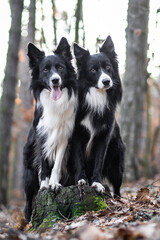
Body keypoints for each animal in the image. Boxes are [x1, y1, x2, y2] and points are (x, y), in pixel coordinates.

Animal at [23, 37, 77, 221]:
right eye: (45, 70)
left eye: (60, 68)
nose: (55, 80)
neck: (55, 104)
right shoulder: (42, 137)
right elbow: (44, 164)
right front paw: (45, 185)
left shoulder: (65, 136)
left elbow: (57, 164)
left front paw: (54, 183)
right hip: (28, 171)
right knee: (28, 197)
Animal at [72, 35, 125, 197]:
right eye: (93, 70)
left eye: (108, 67)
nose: (106, 81)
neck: (97, 97)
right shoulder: (76, 135)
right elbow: (79, 160)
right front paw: (81, 180)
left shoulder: (103, 137)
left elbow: (99, 161)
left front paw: (97, 183)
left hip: (117, 160)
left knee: (117, 186)